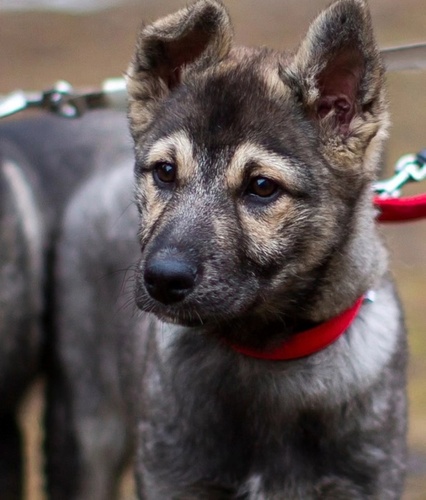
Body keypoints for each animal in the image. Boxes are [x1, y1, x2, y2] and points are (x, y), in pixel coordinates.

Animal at [52, 0, 408, 498]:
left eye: (261, 186)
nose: (163, 280)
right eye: (165, 172)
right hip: (90, 431)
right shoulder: (172, 480)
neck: (264, 352)